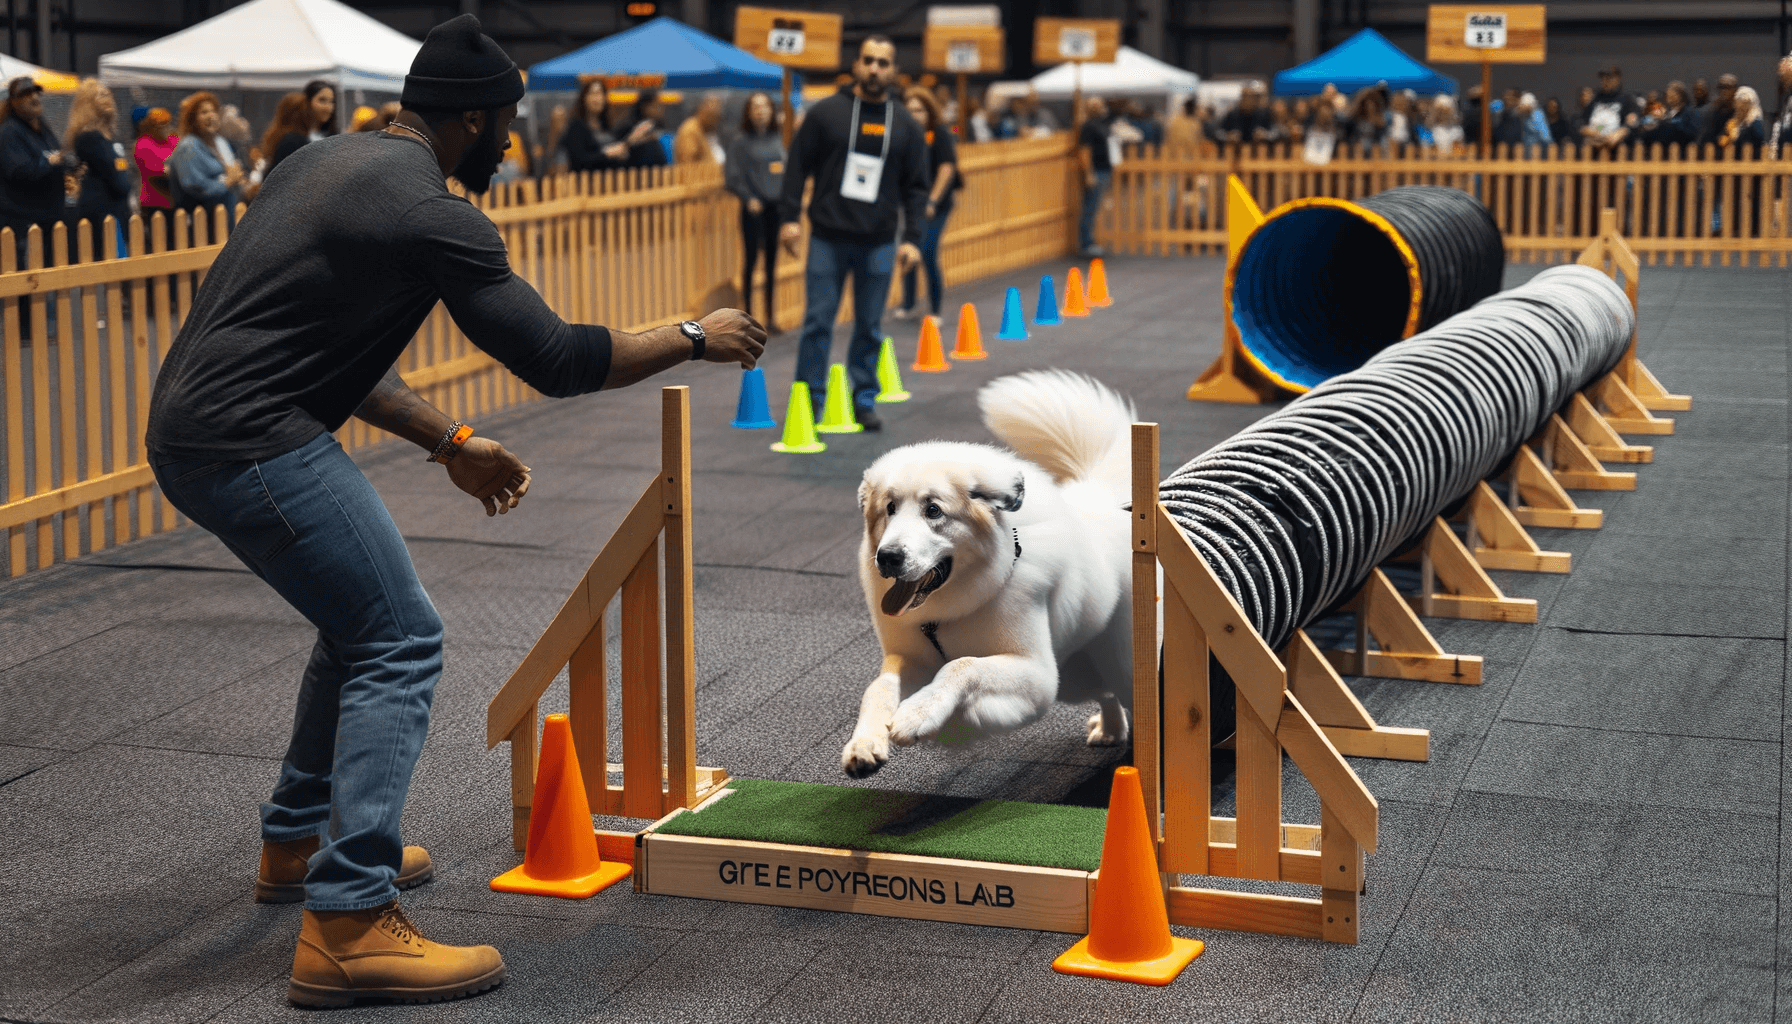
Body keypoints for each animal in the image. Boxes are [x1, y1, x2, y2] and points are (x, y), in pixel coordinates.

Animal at [835, 369, 1132, 778]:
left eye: (933, 510)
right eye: (890, 508)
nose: (888, 557)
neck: (944, 614)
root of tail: (1099, 502)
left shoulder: (1037, 675)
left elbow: (961, 665)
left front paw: (917, 714)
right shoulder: (910, 657)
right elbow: (878, 687)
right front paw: (865, 744)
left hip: (1115, 663)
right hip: (1076, 674)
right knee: (1105, 693)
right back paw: (1110, 730)